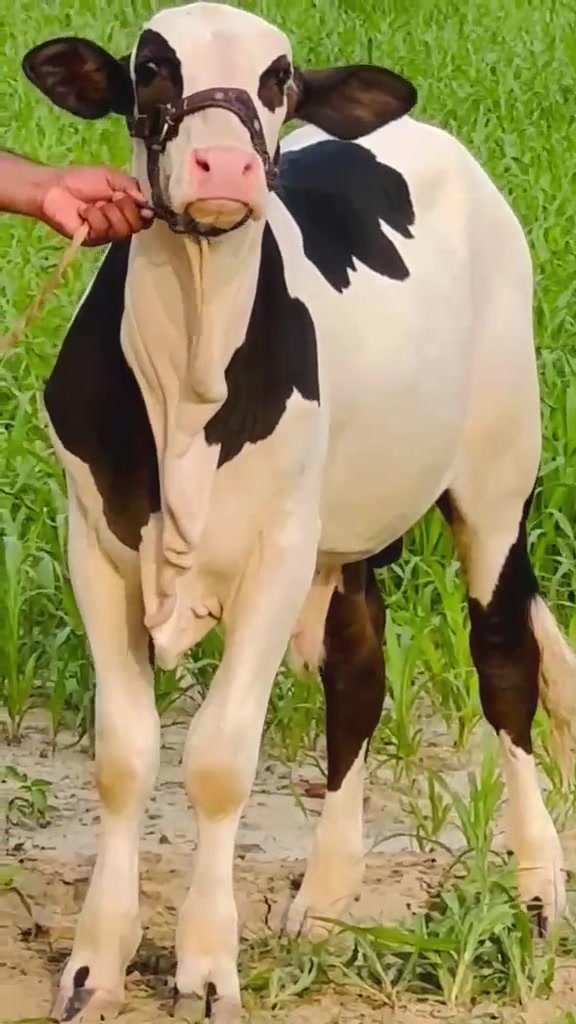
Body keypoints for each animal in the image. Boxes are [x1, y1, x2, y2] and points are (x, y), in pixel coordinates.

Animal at [22, 2, 576, 1021]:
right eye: (150, 67)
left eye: (277, 77)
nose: (223, 169)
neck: (192, 377)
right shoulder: (96, 544)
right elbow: (125, 756)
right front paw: (95, 963)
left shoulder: (277, 553)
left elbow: (218, 759)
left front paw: (206, 964)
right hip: (347, 531)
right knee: (358, 674)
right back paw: (323, 898)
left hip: (498, 477)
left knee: (505, 663)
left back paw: (535, 887)